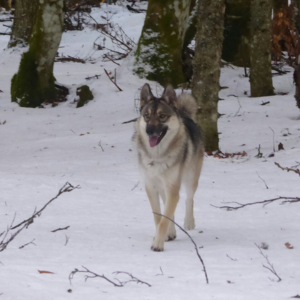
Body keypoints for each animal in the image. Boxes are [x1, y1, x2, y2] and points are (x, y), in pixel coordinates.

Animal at [135, 83, 205, 252]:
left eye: (162, 116)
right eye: (146, 116)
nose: (149, 131)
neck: (157, 156)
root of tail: (184, 114)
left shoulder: (173, 186)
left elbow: (164, 219)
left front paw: (157, 245)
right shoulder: (151, 187)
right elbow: (159, 218)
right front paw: (164, 235)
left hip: (190, 178)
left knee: (189, 199)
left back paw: (189, 222)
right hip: (163, 186)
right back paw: (171, 232)